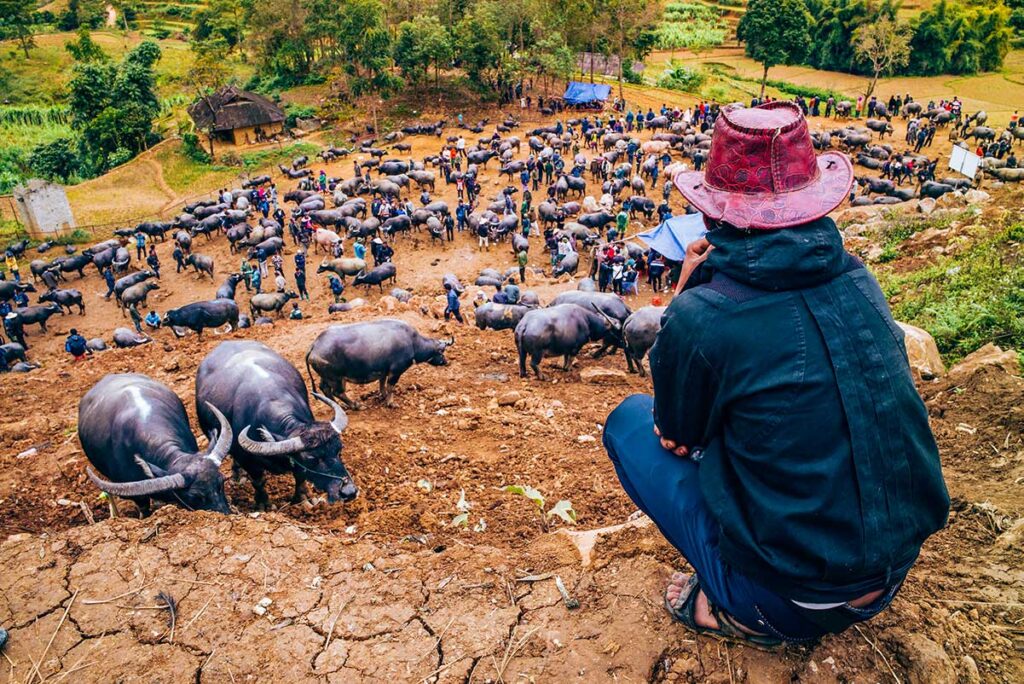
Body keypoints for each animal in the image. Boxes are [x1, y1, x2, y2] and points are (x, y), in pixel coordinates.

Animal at [301, 319, 450, 409]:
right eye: (441, 352)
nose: (445, 362)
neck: (412, 343)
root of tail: (315, 344)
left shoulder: (383, 370)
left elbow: (382, 384)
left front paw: (382, 396)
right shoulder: (396, 371)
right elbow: (390, 387)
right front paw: (391, 403)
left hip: (326, 376)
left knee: (325, 389)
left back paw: (338, 406)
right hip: (336, 378)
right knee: (338, 392)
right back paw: (355, 405)